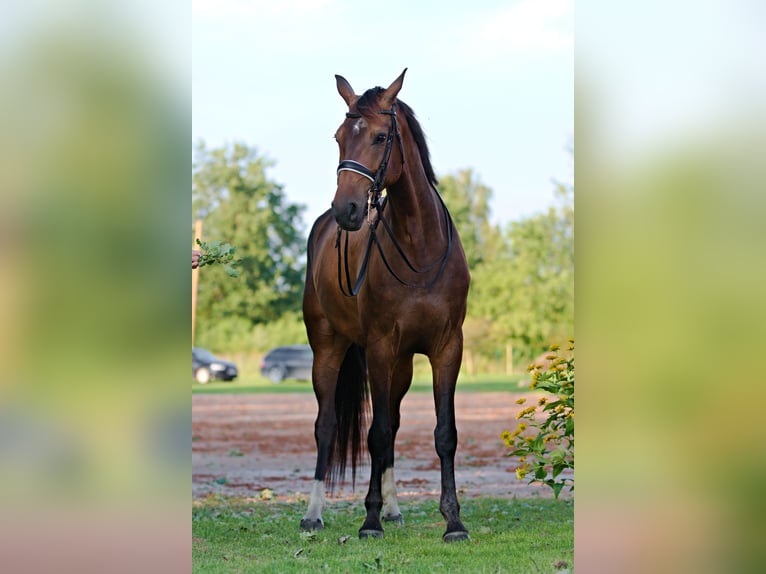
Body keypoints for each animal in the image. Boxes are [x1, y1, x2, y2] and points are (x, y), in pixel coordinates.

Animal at [302, 70, 472, 544]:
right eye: (339, 137)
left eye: (380, 136)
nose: (347, 209)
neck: (419, 247)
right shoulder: (378, 347)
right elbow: (374, 434)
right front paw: (370, 520)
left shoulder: (447, 348)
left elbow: (443, 433)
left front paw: (453, 522)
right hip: (328, 348)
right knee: (327, 426)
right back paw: (314, 514)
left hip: (402, 364)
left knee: (392, 422)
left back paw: (395, 510)